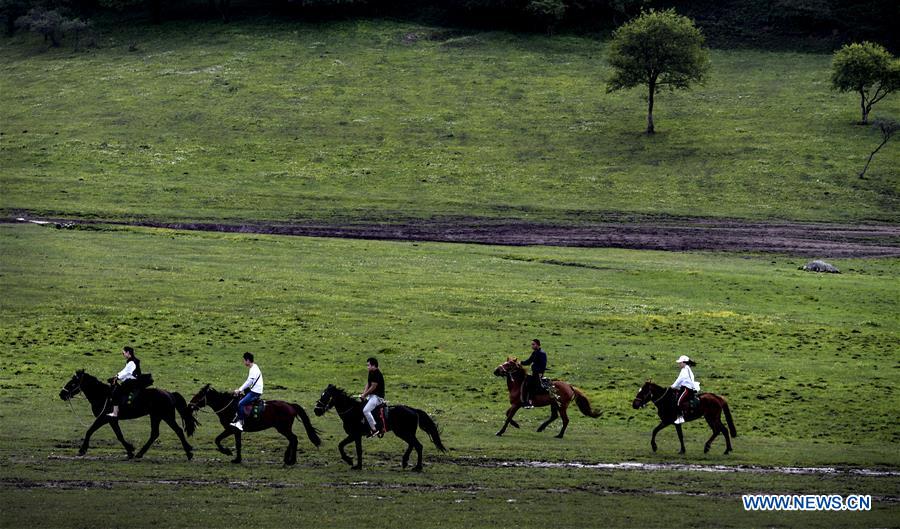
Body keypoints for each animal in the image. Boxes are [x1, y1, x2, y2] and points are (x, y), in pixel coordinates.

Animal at [59, 368, 196, 458]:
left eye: (73, 382)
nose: (62, 394)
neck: (102, 395)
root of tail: (169, 393)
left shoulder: (106, 418)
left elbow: (92, 431)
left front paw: (82, 450)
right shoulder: (110, 420)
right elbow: (116, 434)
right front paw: (130, 451)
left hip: (165, 416)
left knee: (177, 431)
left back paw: (188, 453)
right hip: (157, 416)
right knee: (156, 433)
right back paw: (141, 453)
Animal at [186, 382, 320, 464]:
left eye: (199, 394)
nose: (189, 405)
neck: (228, 406)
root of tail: (290, 405)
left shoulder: (231, 429)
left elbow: (218, 440)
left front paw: (228, 452)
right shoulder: (237, 431)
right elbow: (237, 444)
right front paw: (237, 459)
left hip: (283, 428)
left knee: (294, 439)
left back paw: (291, 460)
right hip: (283, 429)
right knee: (292, 440)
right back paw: (288, 458)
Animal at [312, 384, 446, 470]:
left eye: (326, 396)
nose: (316, 410)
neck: (352, 411)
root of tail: (413, 409)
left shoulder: (354, 435)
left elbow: (341, 446)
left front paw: (350, 461)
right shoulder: (357, 436)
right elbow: (356, 449)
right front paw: (358, 465)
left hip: (404, 433)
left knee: (418, 446)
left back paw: (417, 467)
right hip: (404, 433)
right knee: (413, 445)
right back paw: (405, 461)